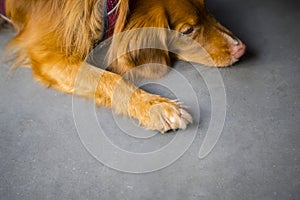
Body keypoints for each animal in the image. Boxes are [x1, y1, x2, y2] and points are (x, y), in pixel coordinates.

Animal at [1, 0, 246, 133]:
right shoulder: (46, 55)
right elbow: (109, 78)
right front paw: (155, 106)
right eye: (187, 31)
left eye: (206, 7)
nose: (241, 49)